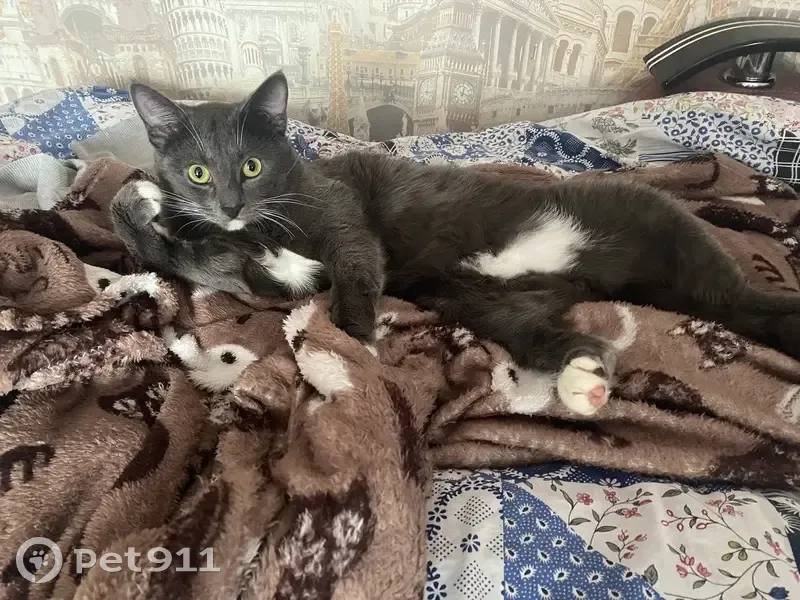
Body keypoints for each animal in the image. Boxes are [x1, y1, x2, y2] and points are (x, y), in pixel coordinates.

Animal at [111, 70, 800, 417]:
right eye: (198, 172)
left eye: (251, 165)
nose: (228, 204)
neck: (261, 226)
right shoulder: (263, 272)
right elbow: (194, 260)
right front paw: (142, 205)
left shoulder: (341, 213)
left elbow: (356, 260)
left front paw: (354, 335)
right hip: (476, 298)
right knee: (541, 332)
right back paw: (583, 376)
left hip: (666, 227)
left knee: (746, 302)